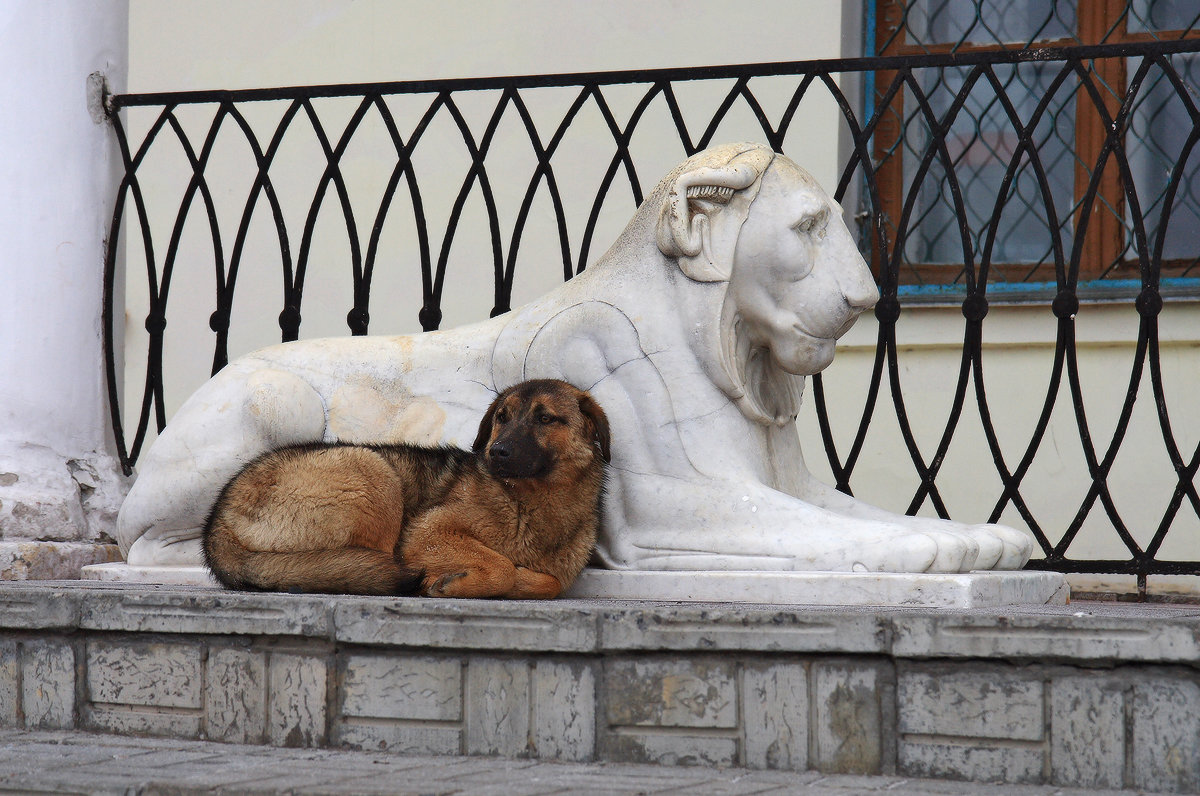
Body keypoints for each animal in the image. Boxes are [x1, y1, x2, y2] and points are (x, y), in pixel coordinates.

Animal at [119, 143, 1032, 573]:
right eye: (809, 229)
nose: (865, 301)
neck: (727, 341)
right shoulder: (648, 508)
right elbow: (819, 532)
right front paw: (929, 555)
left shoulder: (788, 481)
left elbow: (859, 514)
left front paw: (980, 538)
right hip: (258, 406)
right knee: (146, 551)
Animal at [201, 379, 609, 597]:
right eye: (502, 418)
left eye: (545, 419)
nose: (497, 452)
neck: (528, 501)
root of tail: (217, 524)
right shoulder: (426, 533)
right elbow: (503, 565)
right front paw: (459, 582)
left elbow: (549, 582)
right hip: (375, 473)